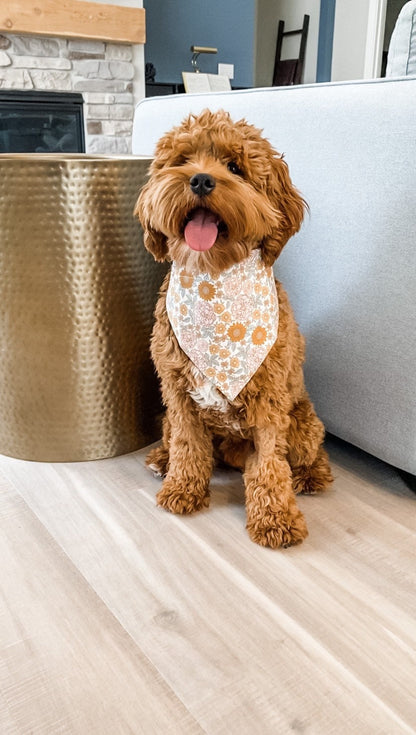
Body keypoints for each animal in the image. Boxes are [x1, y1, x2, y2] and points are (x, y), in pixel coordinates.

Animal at [135, 108, 334, 548]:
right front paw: (183, 489)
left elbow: (269, 465)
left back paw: (311, 476)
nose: (200, 180)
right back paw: (162, 458)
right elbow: (187, 444)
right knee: (177, 440)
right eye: (182, 160)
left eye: (235, 167)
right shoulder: (177, 394)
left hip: (303, 422)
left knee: (311, 452)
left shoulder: (269, 402)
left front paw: (275, 518)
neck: (214, 282)